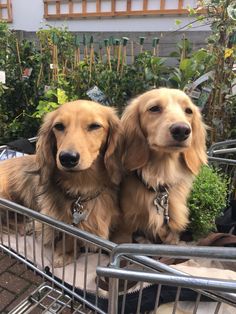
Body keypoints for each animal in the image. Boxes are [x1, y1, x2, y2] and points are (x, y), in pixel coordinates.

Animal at [0, 100, 121, 264]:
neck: (81, 188)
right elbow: (69, 234)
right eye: (58, 126)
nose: (67, 158)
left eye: (95, 126)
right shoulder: (59, 219)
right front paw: (66, 253)